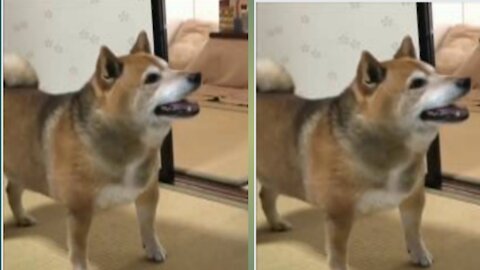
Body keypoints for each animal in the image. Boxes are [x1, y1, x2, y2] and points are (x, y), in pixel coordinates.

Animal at [3, 31, 201, 270]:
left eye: (169, 66)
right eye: (152, 78)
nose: (196, 75)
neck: (127, 143)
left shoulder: (147, 193)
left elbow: (148, 227)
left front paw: (153, 249)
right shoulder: (80, 210)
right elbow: (78, 251)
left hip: (23, 168)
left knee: (12, 191)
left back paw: (22, 218)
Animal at [256, 36, 470, 270]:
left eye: (436, 71)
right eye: (417, 83)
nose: (466, 80)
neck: (390, 148)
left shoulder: (412, 198)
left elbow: (414, 232)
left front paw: (419, 254)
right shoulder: (339, 215)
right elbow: (338, 255)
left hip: (278, 174)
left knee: (266, 195)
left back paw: (276, 222)